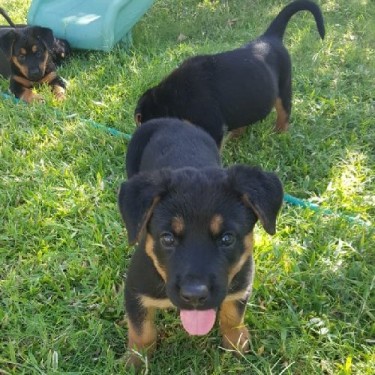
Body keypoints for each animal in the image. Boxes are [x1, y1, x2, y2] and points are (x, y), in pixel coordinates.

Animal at [119, 119, 284, 368]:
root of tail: (170, 120)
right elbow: (141, 330)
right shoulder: (135, 289)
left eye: (227, 238)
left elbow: (233, 313)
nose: (194, 296)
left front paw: (236, 342)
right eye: (167, 238)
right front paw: (136, 359)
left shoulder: (241, 282)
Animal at [134, 0, 326, 147]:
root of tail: (270, 37)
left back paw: (279, 133)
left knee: (284, 113)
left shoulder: (212, 126)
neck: (174, 95)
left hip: (284, 86)